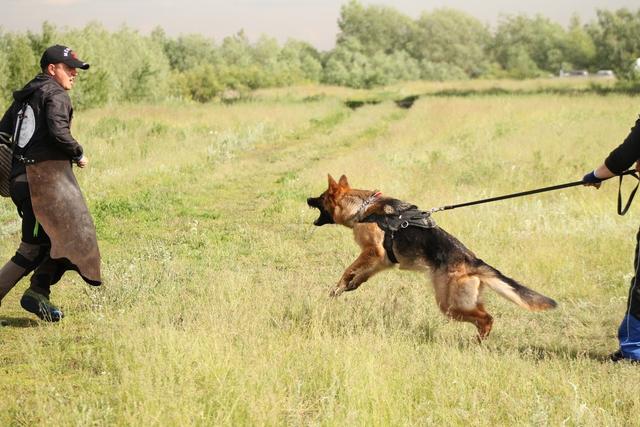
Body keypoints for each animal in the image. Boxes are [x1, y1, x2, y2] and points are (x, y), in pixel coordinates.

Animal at [307, 174, 557, 339]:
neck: (362, 208)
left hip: (448, 304)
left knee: (486, 319)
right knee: (484, 317)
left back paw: (479, 342)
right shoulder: (382, 260)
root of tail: (472, 261)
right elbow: (362, 274)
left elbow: (349, 268)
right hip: (461, 302)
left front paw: (339, 286)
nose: (307, 199)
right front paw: (350, 286)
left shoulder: (373, 251)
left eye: (321, 197)